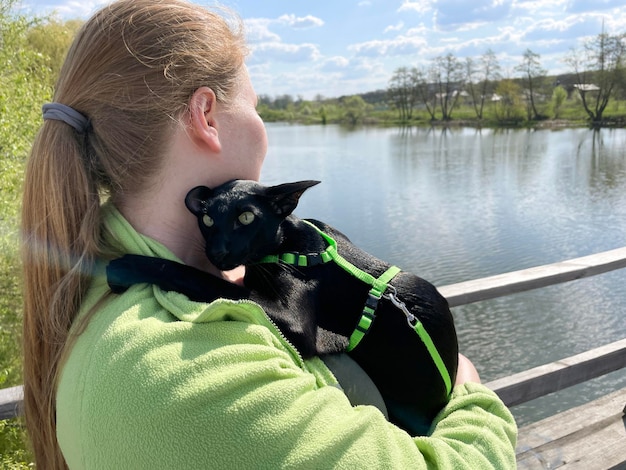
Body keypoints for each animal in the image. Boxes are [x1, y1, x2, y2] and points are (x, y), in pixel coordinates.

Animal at [106, 179, 458, 434]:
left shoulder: (297, 324)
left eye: (246, 217)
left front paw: (128, 266)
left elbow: (199, 278)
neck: (289, 242)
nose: (218, 252)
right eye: (206, 219)